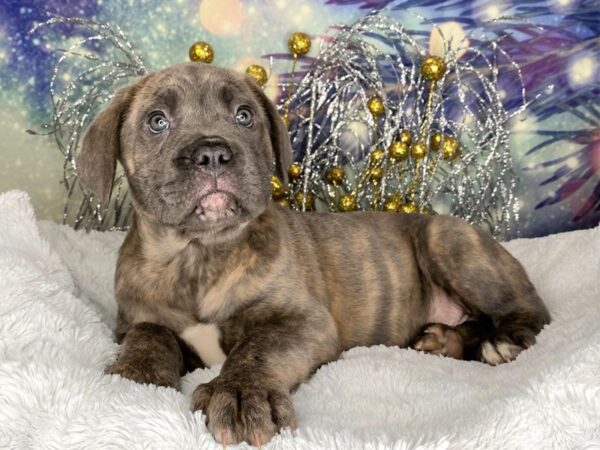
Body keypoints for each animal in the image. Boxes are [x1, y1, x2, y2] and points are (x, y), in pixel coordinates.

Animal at [77, 62, 552, 446]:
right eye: (157, 121)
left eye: (244, 116)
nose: (212, 153)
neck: (199, 254)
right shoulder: (133, 321)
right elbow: (149, 334)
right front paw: (137, 376)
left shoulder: (303, 321)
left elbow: (258, 347)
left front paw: (241, 393)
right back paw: (444, 339)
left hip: (446, 238)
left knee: (532, 311)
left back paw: (502, 342)